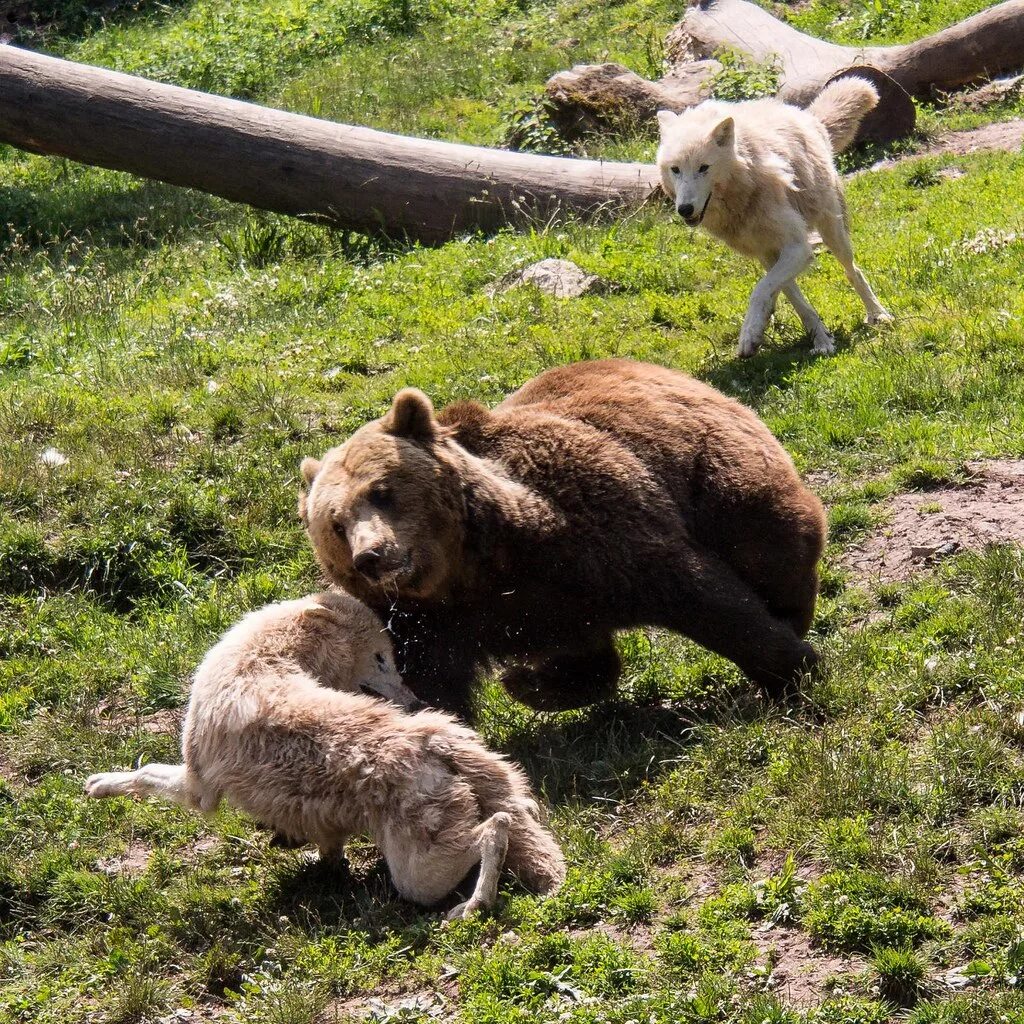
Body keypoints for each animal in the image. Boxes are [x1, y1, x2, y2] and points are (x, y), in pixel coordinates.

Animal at [86, 593, 569, 921]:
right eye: (381, 657)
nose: (415, 699)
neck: (267, 657)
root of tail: (434, 736)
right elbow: (328, 846)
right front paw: (313, 859)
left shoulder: (198, 787)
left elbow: (145, 772)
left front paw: (98, 784)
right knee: (506, 821)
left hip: (420, 876)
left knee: (493, 830)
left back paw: (472, 907)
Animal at [299, 360, 827, 720]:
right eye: (336, 524)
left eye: (381, 491)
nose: (371, 555)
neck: (472, 570)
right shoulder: (431, 622)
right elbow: (429, 685)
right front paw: (524, 682)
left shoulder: (589, 535)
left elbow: (698, 593)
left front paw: (790, 669)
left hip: (718, 473)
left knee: (773, 546)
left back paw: (790, 613)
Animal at [659, 76, 892, 356]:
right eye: (675, 169)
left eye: (704, 168)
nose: (684, 209)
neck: (744, 188)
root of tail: (806, 115)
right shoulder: (768, 251)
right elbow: (789, 296)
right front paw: (813, 338)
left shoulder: (798, 247)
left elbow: (761, 289)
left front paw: (750, 333)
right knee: (788, 288)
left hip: (833, 232)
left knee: (853, 271)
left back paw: (878, 314)